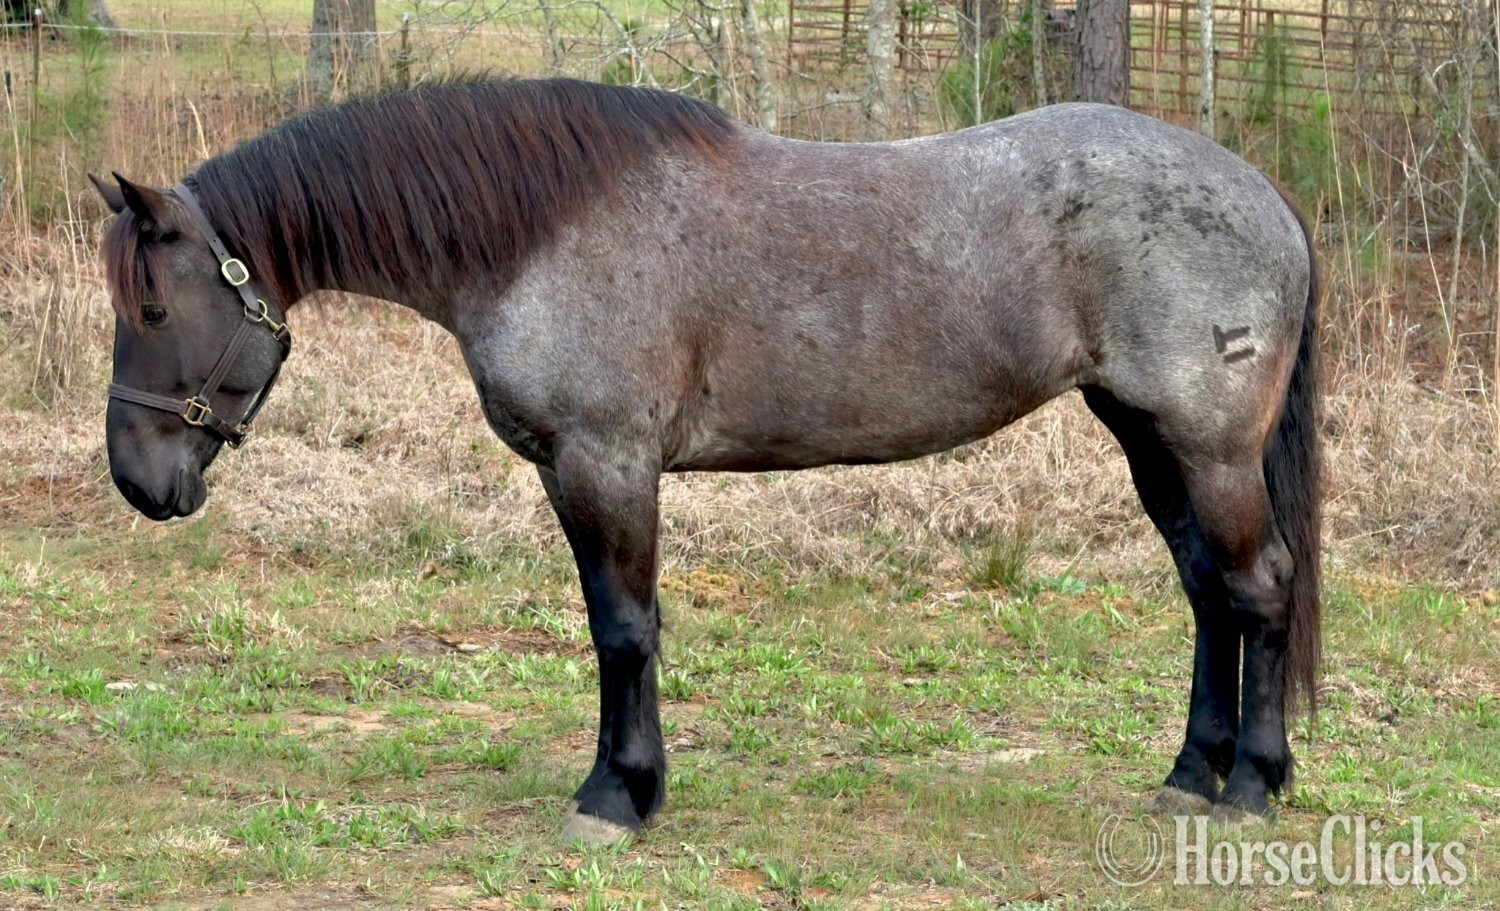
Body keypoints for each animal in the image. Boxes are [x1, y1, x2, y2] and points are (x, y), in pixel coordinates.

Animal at [91, 77, 1320, 844]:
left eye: (152, 305)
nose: (140, 482)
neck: (545, 232)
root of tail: (1267, 195)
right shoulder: (575, 471)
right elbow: (615, 628)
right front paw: (631, 786)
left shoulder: (607, 464)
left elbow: (625, 629)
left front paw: (615, 796)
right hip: (1148, 439)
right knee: (1210, 593)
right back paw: (1191, 773)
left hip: (1206, 446)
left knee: (1258, 590)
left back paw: (1250, 785)